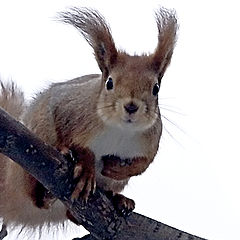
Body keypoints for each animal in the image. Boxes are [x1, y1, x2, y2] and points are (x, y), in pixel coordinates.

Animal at [0, 7, 176, 229]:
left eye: (156, 88)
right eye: (109, 83)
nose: (131, 106)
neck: (121, 130)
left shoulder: (150, 141)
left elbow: (144, 163)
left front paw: (118, 169)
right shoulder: (68, 108)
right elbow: (73, 139)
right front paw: (85, 165)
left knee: (72, 215)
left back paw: (119, 200)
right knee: (37, 199)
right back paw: (50, 188)